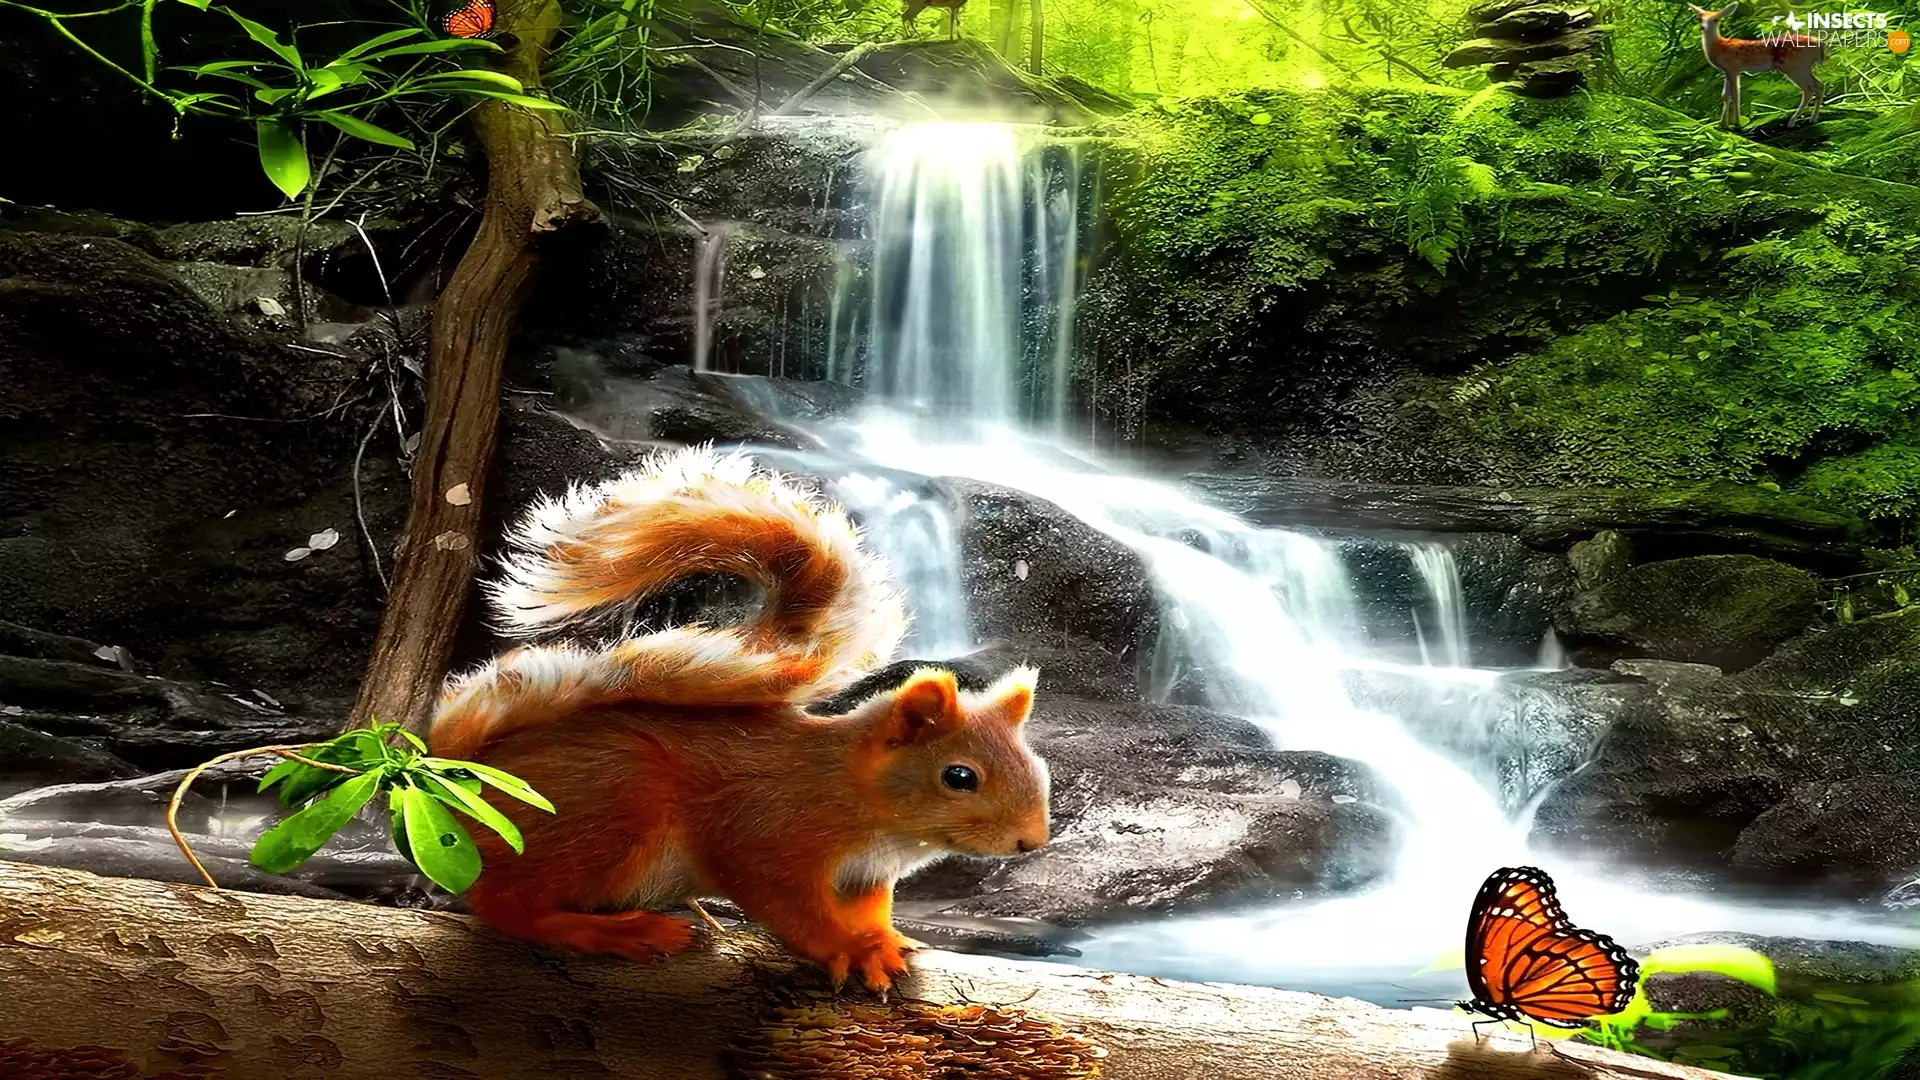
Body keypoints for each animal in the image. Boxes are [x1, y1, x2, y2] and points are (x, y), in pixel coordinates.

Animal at [428, 446, 1051, 992]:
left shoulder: (866, 876)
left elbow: (870, 913)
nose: (1031, 842)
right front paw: (846, 949)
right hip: (603, 811)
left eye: (1039, 769)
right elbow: (785, 905)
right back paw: (613, 932)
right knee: (504, 904)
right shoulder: (766, 834)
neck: (848, 789)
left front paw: (882, 941)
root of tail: (466, 778)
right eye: (959, 777)